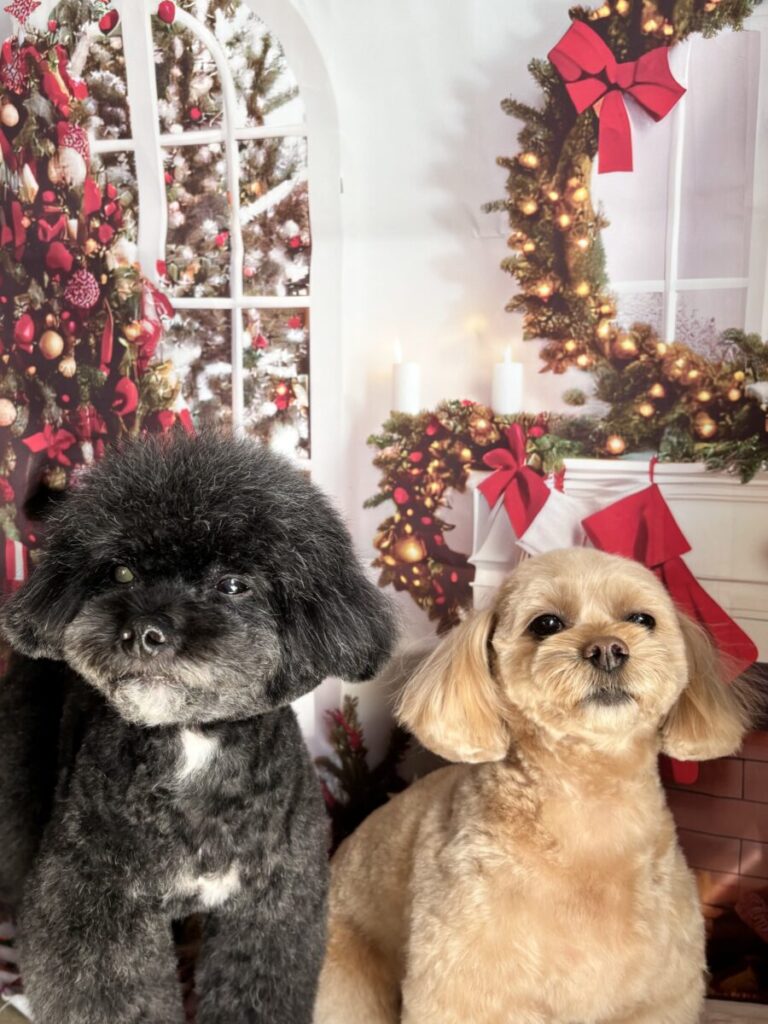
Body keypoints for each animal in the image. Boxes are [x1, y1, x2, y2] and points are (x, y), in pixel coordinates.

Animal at [0, 431, 395, 1024]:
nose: (143, 631)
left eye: (233, 584)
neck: (192, 740)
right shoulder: (91, 900)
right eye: (121, 572)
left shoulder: (271, 905)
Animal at [314, 547, 753, 1024]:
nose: (608, 649)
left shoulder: (658, 997)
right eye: (546, 624)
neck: (589, 805)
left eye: (641, 619)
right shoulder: (466, 990)